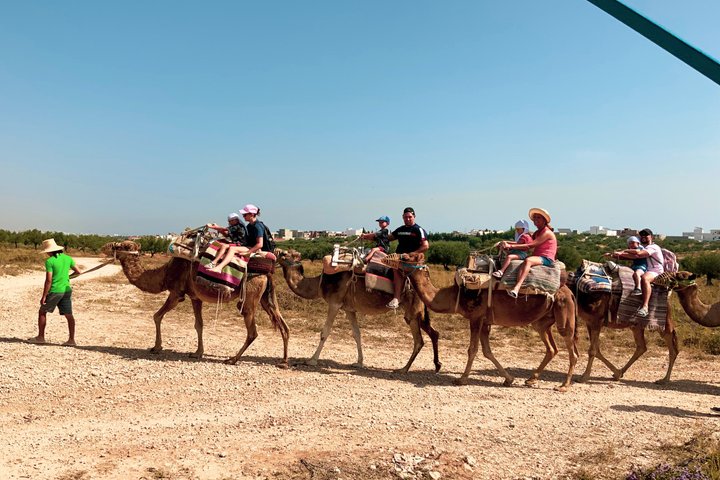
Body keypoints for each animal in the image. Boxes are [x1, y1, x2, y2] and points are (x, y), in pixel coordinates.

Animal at [101, 241, 290, 367]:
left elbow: (157, 316)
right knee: (283, 326)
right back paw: (283, 361)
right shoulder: (194, 297)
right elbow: (199, 324)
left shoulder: (177, 293)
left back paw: (232, 359)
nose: (103, 248)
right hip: (266, 297)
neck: (165, 273)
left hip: (250, 295)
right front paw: (197, 353)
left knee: (252, 331)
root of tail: (268, 272)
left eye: (117, 246)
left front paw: (156, 347)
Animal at [275, 249, 441, 373]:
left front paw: (312, 360)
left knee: (419, 340)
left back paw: (403, 369)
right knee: (433, 333)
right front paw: (359, 362)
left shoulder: (334, 303)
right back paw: (436, 366)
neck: (320, 282)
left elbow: (325, 332)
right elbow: (357, 334)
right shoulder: (349, 309)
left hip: (413, 311)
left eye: (284, 254)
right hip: (418, 312)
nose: (275, 252)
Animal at [405, 263, 578, 391]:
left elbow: (472, 349)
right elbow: (487, 351)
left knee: (572, 350)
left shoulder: (475, 318)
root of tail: (570, 293)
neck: (457, 295)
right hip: (542, 322)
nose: (397, 257)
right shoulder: (485, 322)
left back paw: (563, 386)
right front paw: (509, 379)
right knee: (552, 348)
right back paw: (530, 379)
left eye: (407, 257)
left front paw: (462, 379)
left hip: (564, 316)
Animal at [576, 270, 720, 384]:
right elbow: (596, 349)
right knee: (643, 346)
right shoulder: (590, 322)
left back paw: (664, 380)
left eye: (682, 276)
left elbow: (593, 350)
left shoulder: (596, 320)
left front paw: (584, 377)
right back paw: (622, 373)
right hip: (637, 325)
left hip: (662, 324)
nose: (669, 279)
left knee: (672, 347)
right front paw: (615, 373)